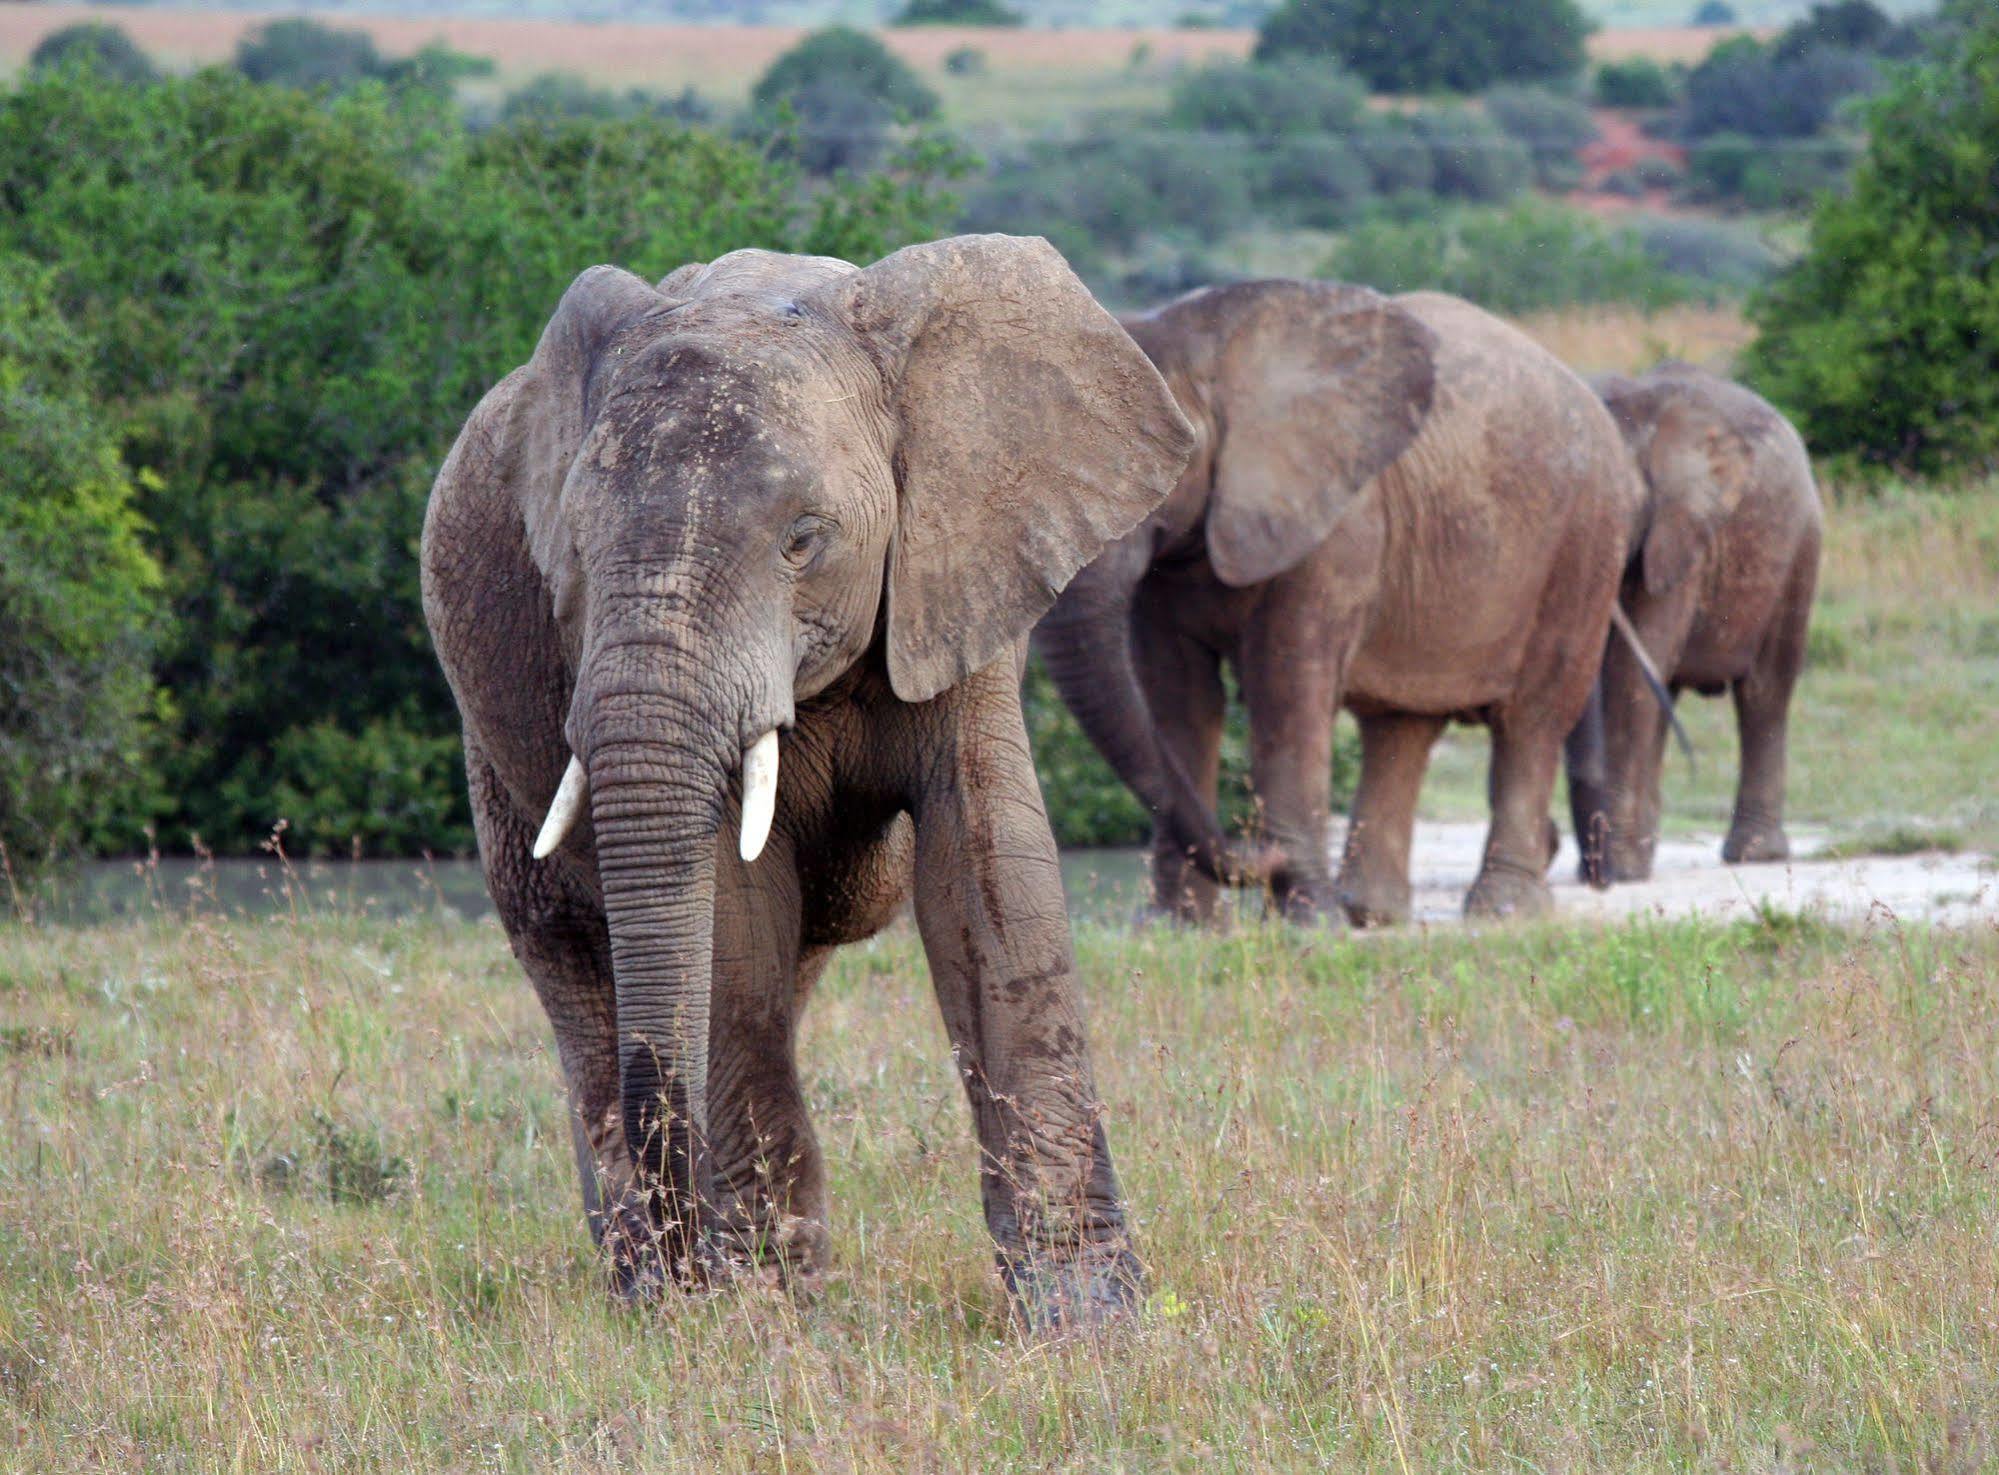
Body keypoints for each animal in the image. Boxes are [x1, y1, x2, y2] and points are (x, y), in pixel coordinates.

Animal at [421, 232, 1191, 1319]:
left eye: (803, 539)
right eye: (570, 549)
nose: (692, 1257)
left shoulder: (960, 566)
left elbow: (990, 873)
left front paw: (1085, 1319)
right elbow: (733, 915)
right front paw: (766, 1311)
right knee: (572, 956)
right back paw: (645, 1286)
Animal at [1031, 277, 1639, 919]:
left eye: (1168, 457)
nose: (1259, 850)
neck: (1210, 340)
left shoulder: (1340, 525)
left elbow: (1286, 688)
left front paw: (1309, 918)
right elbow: (1177, 695)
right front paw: (1177, 926)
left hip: (1587, 539)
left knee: (1534, 717)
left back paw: (1500, 909)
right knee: (1402, 727)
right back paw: (1371, 912)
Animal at [1559, 359, 1831, 879]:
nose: (1594, 871)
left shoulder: (1677, 539)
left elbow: (1626, 673)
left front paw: (1618, 873)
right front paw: (1610, 871)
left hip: (1800, 544)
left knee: (1765, 690)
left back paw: (1753, 855)